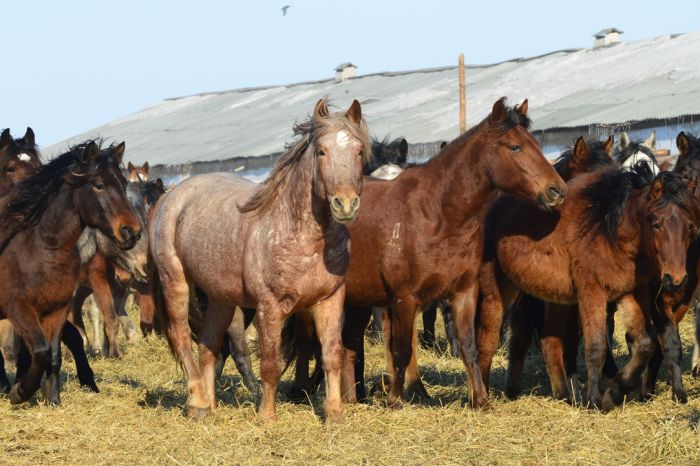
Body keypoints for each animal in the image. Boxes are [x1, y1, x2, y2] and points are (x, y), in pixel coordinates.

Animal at [0, 141, 141, 404]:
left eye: (123, 183)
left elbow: (53, 354)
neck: (42, 249)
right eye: (98, 184)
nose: (132, 232)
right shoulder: (18, 308)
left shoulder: (57, 308)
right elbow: (41, 350)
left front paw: (52, 400)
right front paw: (19, 392)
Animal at [152, 98, 372, 422]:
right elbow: (270, 362)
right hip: (175, 281)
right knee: (181, 337)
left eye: (358, 151)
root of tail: (171, 197)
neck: (304, 237)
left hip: (220, 298)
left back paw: (209, 406)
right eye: (321, 151)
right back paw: (197, 402)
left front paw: (334, 415)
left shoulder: (330, 300)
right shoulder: (270, 306)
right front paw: (267, 416)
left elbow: (332, 355)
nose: (345, 204)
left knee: (208, 345)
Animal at [336, 97, 568, 408]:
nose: (556, 190)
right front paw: (395, 400)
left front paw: (481, 401)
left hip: (358, 299)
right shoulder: (404, 299)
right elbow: (401, 351)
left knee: (348, 344)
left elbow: (471, 347)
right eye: (515, 147)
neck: (437, 215)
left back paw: (351, 399)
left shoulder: (464, 292)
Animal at [478, 158, 696, 410]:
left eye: (690, 226)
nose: (676, 279)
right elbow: (596, 347)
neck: (608, 230)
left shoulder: (631, 293)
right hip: (503, 291)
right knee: (500, 338)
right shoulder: (593, 293)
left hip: (555, 298)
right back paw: (490, 393)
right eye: (657, 224)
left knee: (549, 340)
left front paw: (613, 393)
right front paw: (594, 400)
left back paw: (563, 395)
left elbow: (645, 344)